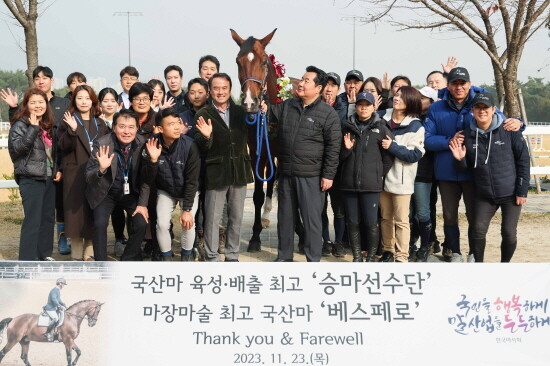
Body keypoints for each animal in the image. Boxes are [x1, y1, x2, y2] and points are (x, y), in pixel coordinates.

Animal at [230, 28, 306, 253]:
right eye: (238, 61)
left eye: (264, 62)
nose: (250, 103)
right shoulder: (259, 153)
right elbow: (257, 195)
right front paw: (255, 237)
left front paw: (300, 231)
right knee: (270, 181)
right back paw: (265, 217)